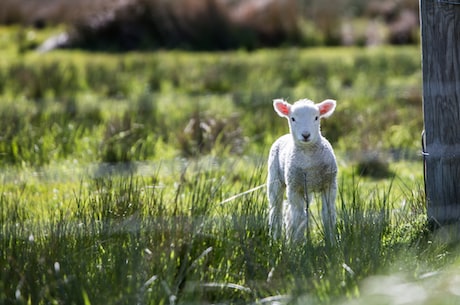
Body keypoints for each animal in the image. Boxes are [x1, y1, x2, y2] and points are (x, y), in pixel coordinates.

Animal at [266, 98, 338, 241]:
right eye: (293, 118)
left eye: (316, 117)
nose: (305, 135)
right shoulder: (294, 187)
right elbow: (298, 218)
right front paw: (296, 243)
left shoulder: (329, 184)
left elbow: (328, 215)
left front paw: (332, 241)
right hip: (275, 179)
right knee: (277, 210)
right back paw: (275, 238)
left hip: (306, 188)